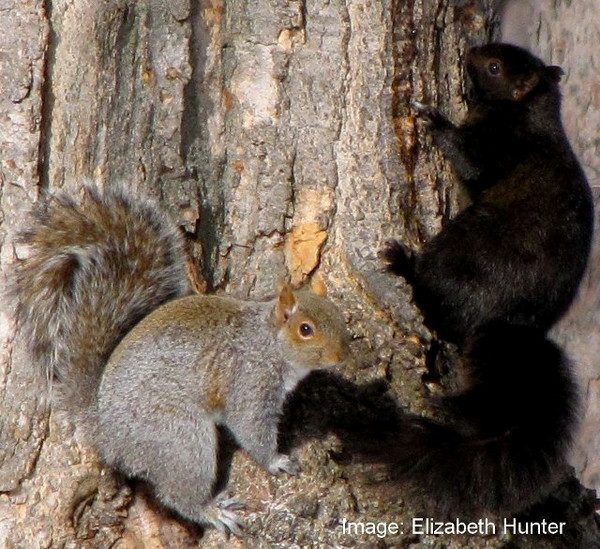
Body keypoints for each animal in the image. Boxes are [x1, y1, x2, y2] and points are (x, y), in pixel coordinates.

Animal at [12, 186, 352, 532]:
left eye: (337, 314)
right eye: (306, 329)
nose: (343, 355)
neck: (267, 341)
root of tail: (106, 433)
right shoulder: (249, 382)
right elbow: (250, 429)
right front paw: (276, 461)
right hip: (181, 439)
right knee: (179, 495)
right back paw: (211, 511)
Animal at [382, 44, 592, 520]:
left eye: (495, 68)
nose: (471, 52)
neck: (528, 111)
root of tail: (513, 321)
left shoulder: (500, 146)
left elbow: (472, 161)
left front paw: (432, 120)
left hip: (461, 250)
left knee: (436, 301)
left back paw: (405, 265)